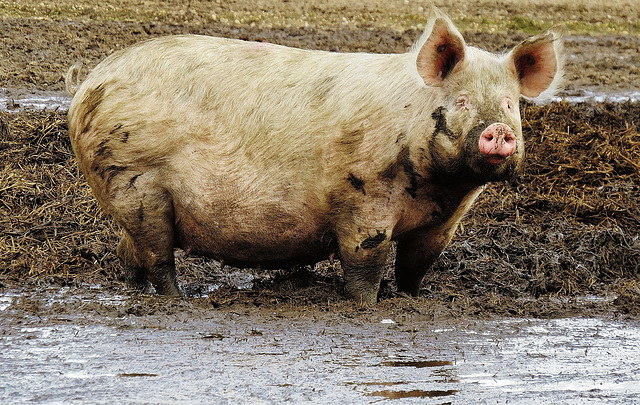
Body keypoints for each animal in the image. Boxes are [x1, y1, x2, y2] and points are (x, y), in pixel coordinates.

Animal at [67, 9, 564, 302]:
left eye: (509, 104)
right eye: (461, 100)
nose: (499, 131)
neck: (439, 189)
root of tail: (88, 82)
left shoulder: (442, 223)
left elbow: (416, 267)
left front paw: (412, 302)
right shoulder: (363, 200)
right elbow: (365, 264)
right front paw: (368, 306)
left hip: (129, 196)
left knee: (128, 251)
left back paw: (136, 295)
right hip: (136, 181)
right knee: (157, 257)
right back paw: (178, 301)